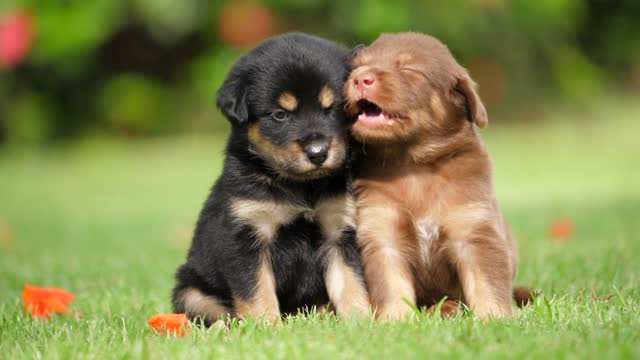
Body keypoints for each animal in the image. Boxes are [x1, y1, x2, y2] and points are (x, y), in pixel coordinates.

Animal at [171, 33, 370, 324]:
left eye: (332, 109)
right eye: (280, 114)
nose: (318, 153)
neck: (300, 186)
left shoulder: (338, 230)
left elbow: (351, 283)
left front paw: (362, 321)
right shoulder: (246, 236)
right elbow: (256, 291)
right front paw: (265, 325)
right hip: (190, 291)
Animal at [348, 33, 528, 320]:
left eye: (409, 69)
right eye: (356, 67)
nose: (360, 78)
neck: (412, 165)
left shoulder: (473, 229)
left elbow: (487, 282)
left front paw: (494, 317)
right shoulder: (382, 231)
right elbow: (391, 283)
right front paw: (395, 319)